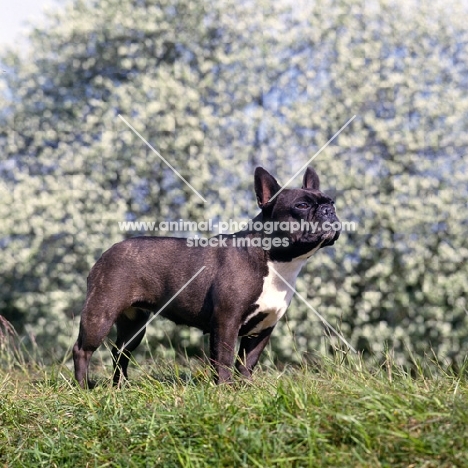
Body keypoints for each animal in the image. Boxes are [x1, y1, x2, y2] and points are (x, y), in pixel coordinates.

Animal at [75, 166, 342, 386]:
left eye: (332, 202)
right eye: (301, 206)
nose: (329, 210)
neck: (276, 262)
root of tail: (107, 252)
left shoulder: (262, 329)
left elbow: (247, 364)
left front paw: (246, 390)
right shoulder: (226, 322)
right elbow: (223, 359)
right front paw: (225, 389)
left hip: (135, 325)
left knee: (120, 352)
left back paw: (120, 388)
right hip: (101, 313)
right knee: (82, 350)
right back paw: (83, 388)